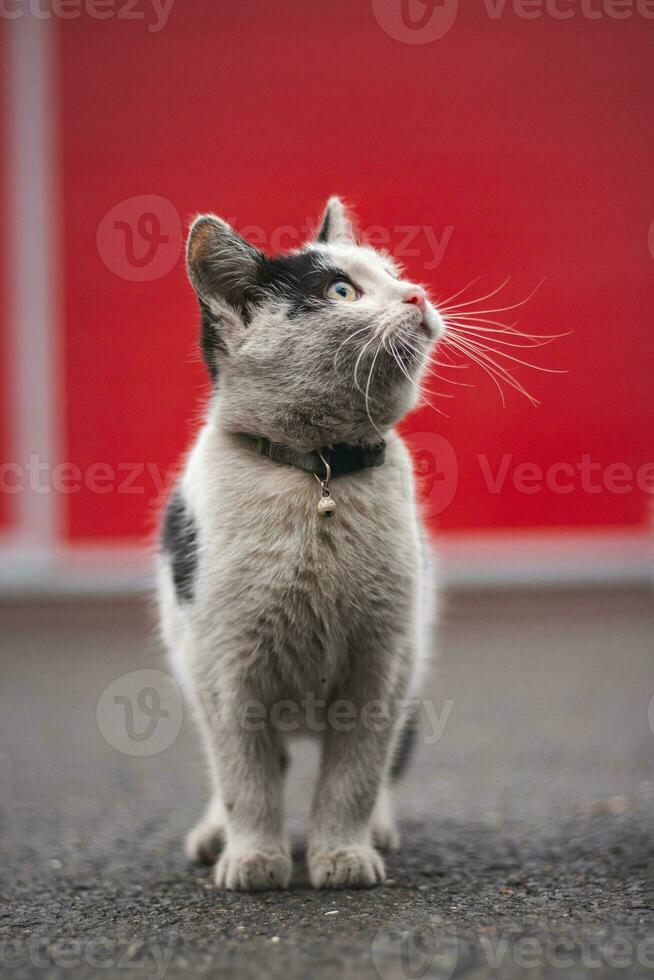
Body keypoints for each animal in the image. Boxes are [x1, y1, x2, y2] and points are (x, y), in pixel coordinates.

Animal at [158, 195, 446, 892]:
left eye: (394, 274)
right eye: (341, 290)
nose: (418, 295)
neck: (319, 469)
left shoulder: (381, 663)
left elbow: (354, 777)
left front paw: (342, 855)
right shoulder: (226, 669)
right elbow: (246, 779)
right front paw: (254, 860)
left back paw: (378, 829)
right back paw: (215, 835)